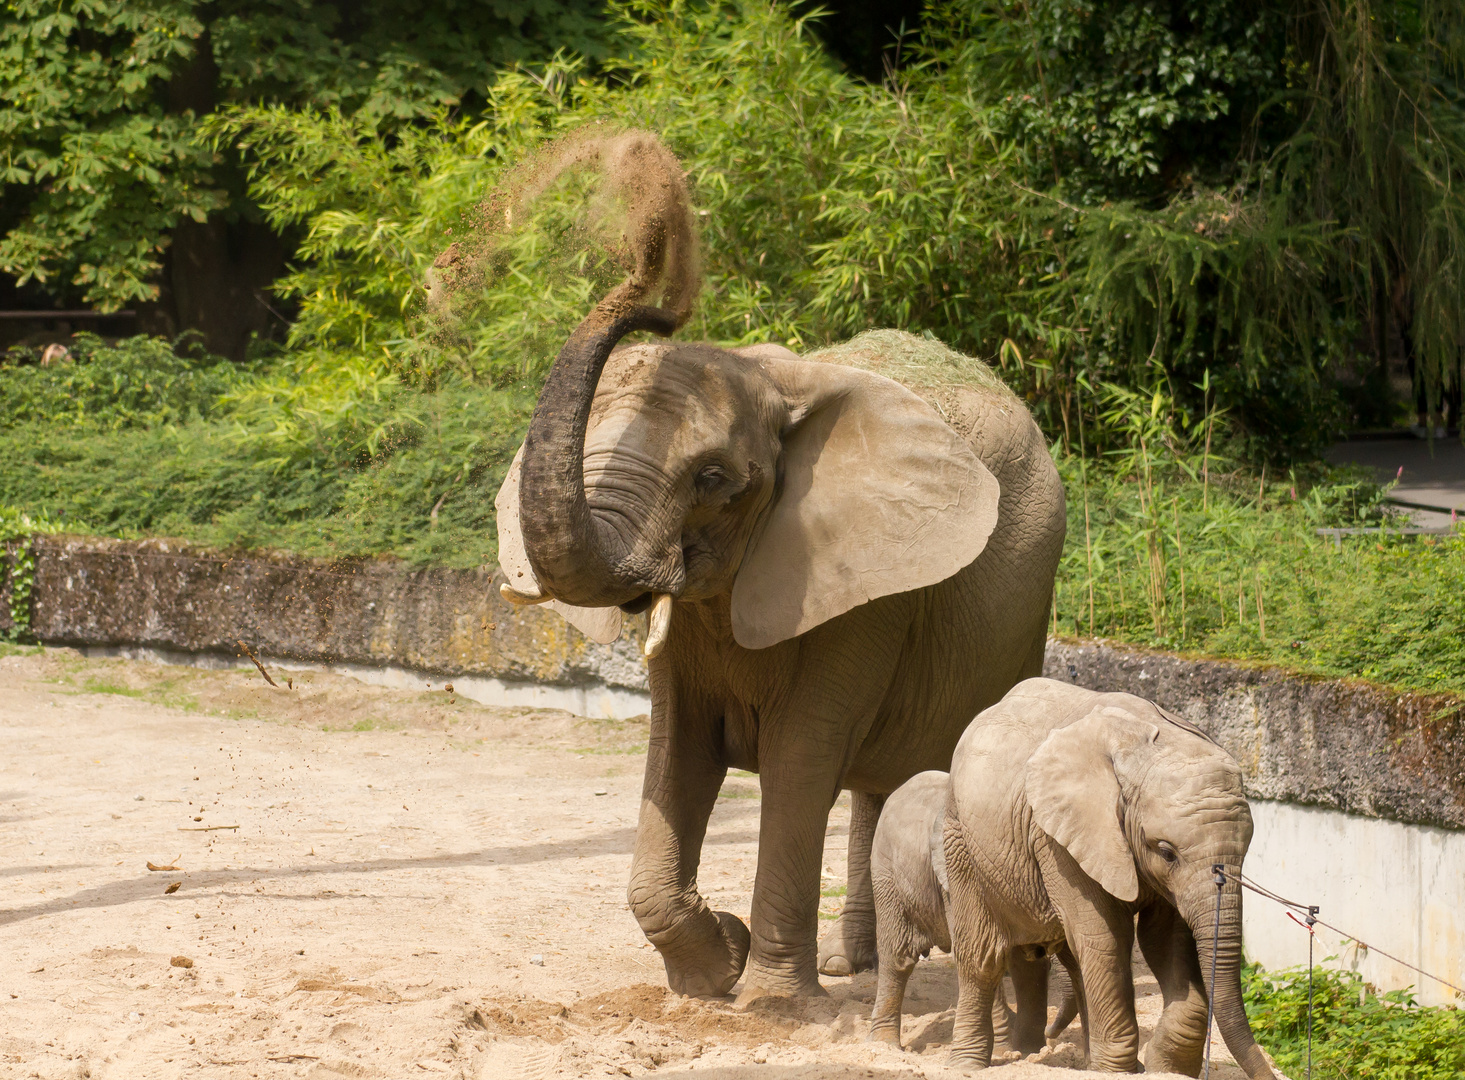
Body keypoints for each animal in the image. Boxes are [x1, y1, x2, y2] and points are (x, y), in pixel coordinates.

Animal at [492, 132, 1066, 1002]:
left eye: (713, 479)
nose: (662, 278)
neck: (773, 377)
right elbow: (676, 752)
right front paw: (713, 968)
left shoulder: (866, 590)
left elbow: (800, 758)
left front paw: (767, 1003)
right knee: (880, 783)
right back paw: (854, 963)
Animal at [867, 767, 1078, 1055]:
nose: (1052, 1035)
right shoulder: (953, 882)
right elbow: (989, 952)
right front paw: (1005, 1048)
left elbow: (1023, 963)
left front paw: (1027, 1051)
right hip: (886, 875)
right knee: (897, 957)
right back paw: (884, 1045)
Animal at [943, 677, 1277, 1072]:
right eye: (1167, 852)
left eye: (1247, 849)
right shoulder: (1058, 839)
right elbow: (1106, 936)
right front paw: (1120, 1070)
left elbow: (1165, 939)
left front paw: (1164, 1067)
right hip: (960, 838)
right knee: (981, 956)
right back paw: (966, 1065)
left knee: (1074, 959)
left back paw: (1084, 1061)